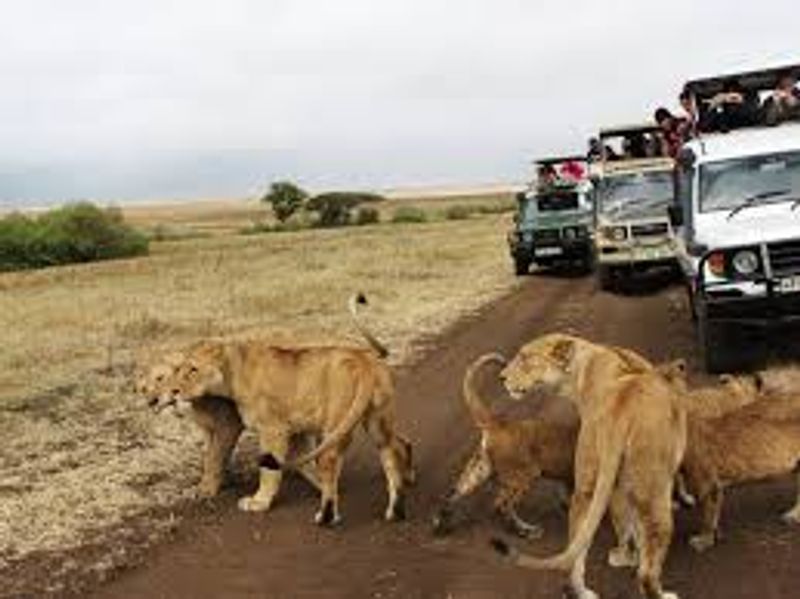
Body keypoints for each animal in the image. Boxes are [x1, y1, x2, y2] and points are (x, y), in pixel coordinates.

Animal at [152, 294, 412, 524]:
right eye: (178, 369)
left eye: (193, 369)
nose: (174, 392)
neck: (235, 372)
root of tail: (364, 360)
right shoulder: (294, 429)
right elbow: (305, 464)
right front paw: (319, 484)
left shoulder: (272, 428)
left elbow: (267, 469)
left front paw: (259, 502)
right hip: (377, 420)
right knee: (392, 450)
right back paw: (398, 503)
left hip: (337, 423)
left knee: (331, 461)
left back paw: (327, 517)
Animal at [434, 354, 580, 540]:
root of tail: (498, 424)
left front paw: (566, 505)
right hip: (524, 475)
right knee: (501, 504)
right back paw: (527, 531)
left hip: (479, 470)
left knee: (453, 493)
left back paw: (440, 526)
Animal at [490, 336, 684, 599]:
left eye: (526, 357)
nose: (501, 377)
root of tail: (619, 417)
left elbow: (627, 523)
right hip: (652, 488)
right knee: (647, 566)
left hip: (587, 486)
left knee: (577, 548)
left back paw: (585, 587)